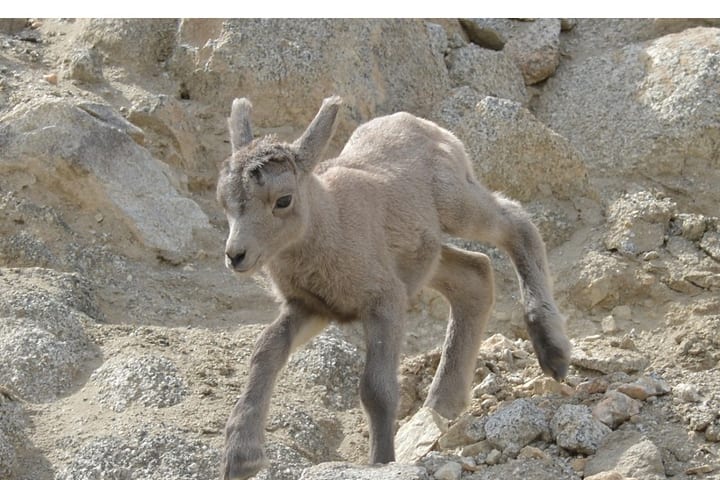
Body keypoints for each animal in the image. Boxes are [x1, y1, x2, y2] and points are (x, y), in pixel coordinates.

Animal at [216, 96, 572, 479]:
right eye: (225, 201)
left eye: (283, 200)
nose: (236, 255)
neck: (331, 222)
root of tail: (421, 125)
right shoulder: (311, 307)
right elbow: (266, 350)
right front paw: (241, 459)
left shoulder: (384, 302)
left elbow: (376, 389)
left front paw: (381, 460)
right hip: (427, 256)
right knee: (474, 276)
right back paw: (441, 403)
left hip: (459, 207)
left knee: (515, 222)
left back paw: (553, 353)